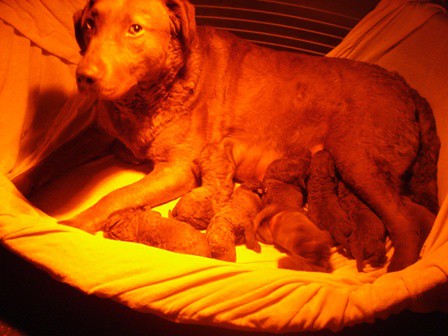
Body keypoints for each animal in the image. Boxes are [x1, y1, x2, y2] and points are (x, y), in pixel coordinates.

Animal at [68, 0, 440, 272]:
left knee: (405, 226)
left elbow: (115, 195)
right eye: (90, 24)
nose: (84, 76)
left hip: (356, 159)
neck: (157, 91)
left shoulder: (177, 170)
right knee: (416, 213)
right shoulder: (123, 142)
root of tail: (410, 90)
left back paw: (397, 271)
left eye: (135, 29)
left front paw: (73, 222)